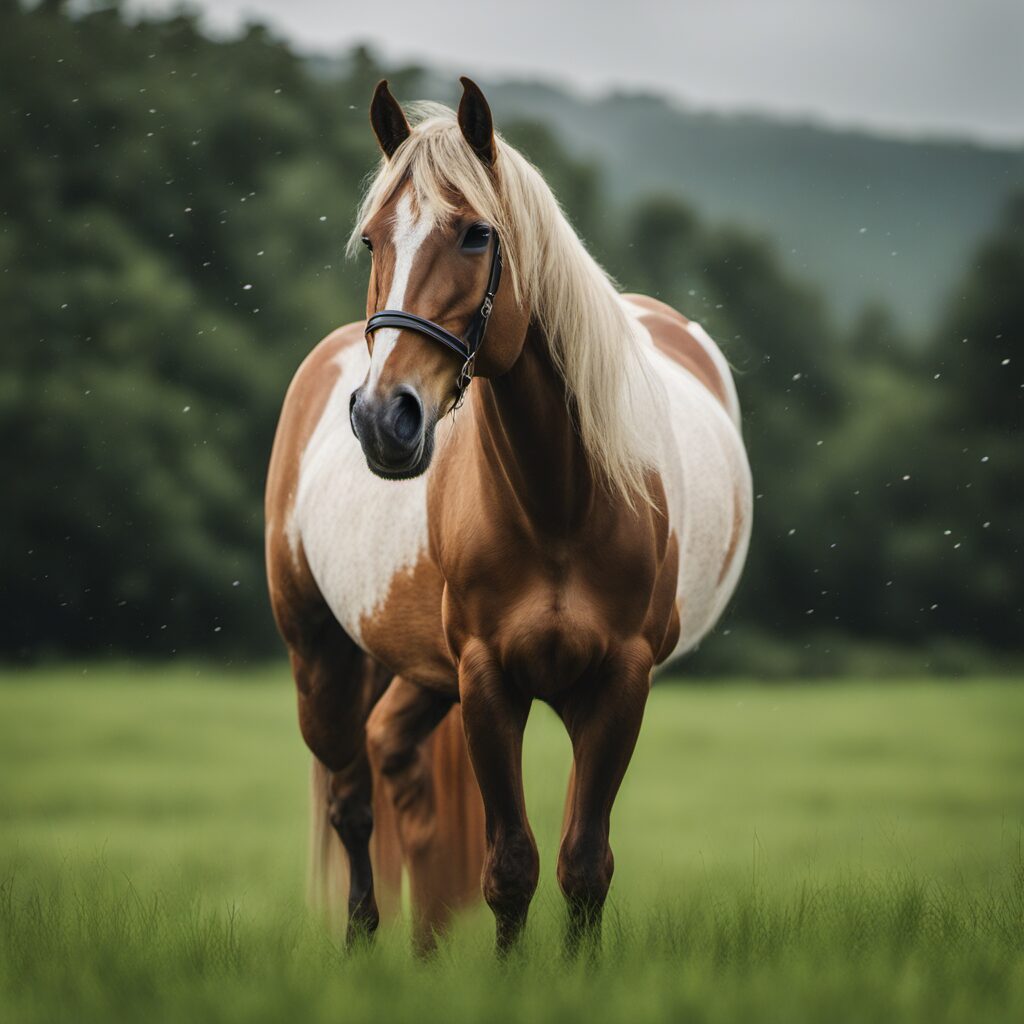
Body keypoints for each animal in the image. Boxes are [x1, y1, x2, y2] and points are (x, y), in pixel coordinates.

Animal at [265, 77, 752, 955]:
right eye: (372, 240)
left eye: (476, 234)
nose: (383, 418)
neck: (559, 500)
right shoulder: (487, 679)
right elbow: (511, 869)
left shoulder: (617, 683)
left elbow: (582, 865)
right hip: (320, 654)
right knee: (353, 803)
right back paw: (362, 949)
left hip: (421, 673)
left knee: (396, 762)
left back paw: (424, 954)